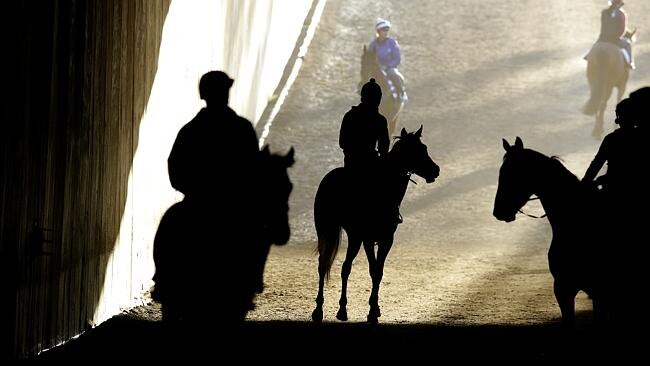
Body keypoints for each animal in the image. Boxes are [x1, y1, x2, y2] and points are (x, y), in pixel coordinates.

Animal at [312, 126, 438, 324]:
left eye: (424, 147)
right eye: (415, 150)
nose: (436, 170)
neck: (382, 191)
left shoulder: (386, 240)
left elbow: (379, 272)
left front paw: (375, 309)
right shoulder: (369, 240)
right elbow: (373, 270)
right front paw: (371, 312)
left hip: (354, 237)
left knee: (345, 268)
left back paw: (342, 309)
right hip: (326, 231)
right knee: (323, 264)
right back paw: (318, 310)